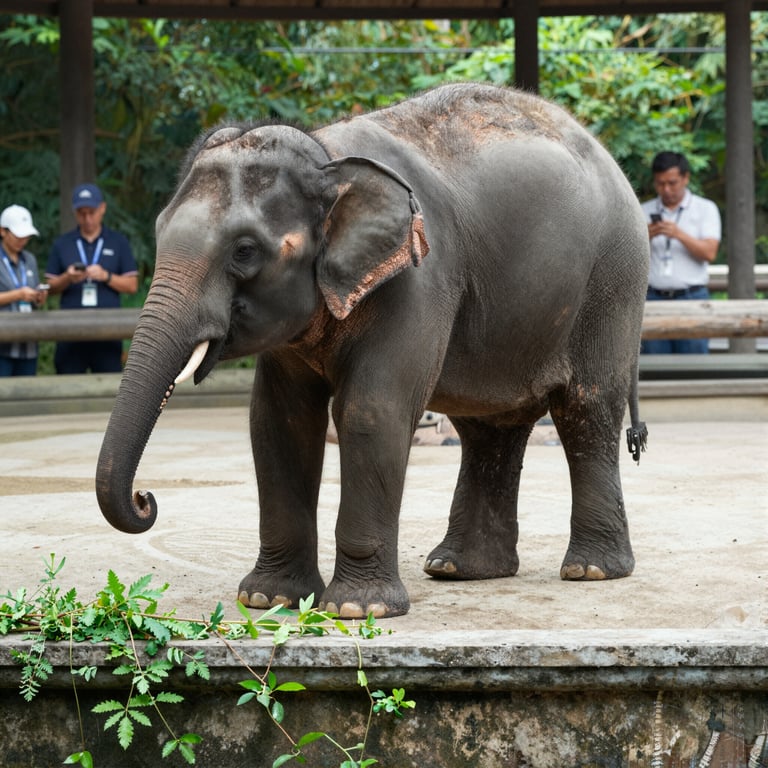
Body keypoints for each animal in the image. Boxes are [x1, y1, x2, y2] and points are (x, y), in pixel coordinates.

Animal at [96, 82, 649, 619]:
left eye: (245, 251)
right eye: (158, 231)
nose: (145, 498)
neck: (328, 158)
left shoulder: (420, 276)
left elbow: (371, 411)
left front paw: (357, 609)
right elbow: (278, 420)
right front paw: (267, 600)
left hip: (611, 284)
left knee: (585, 408)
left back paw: (590, 571)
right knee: (488, 426)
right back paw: (458, 569)